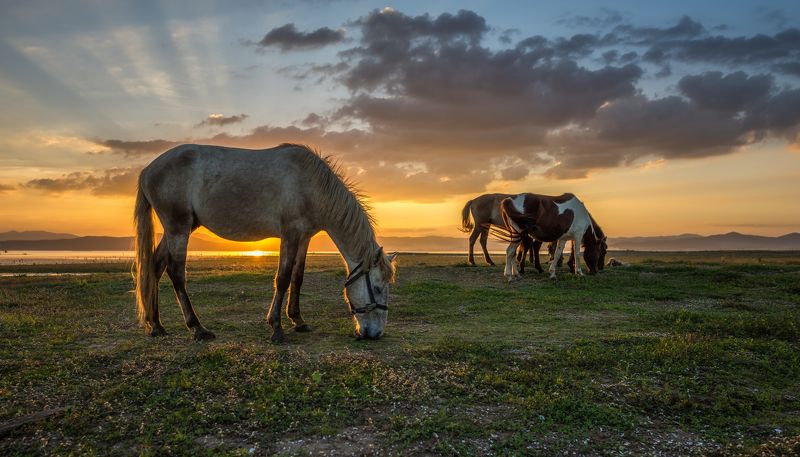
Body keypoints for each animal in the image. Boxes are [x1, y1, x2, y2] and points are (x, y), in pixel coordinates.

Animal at [133, 143, 397, 343]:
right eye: (378, 288)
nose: (376, 333)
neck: (311, 186)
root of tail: (147, 170)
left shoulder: (304, 237)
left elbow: (297, 278)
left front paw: (298, 320)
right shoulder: (290, 233)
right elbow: (283, 278)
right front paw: (277, 327)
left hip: (178, 229)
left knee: (155, 267)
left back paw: (156, 325)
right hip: (178, 228)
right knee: (176, 273)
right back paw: (197, 328)